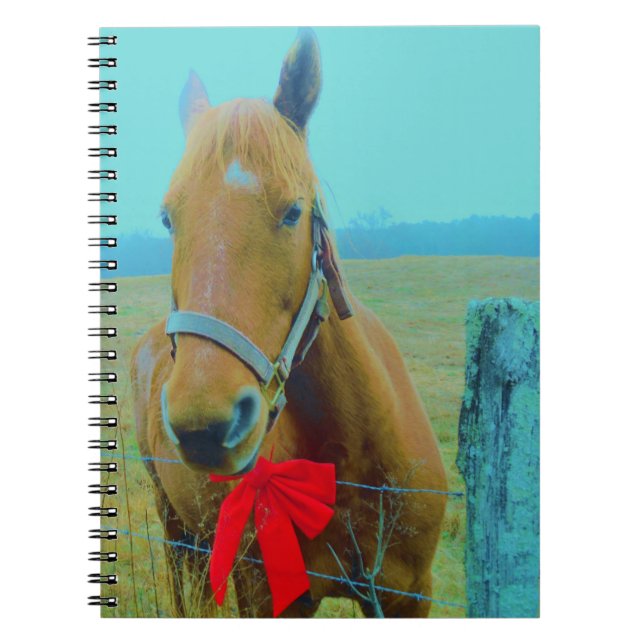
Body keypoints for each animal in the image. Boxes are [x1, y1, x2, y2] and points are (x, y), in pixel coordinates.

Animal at [130, 28, 447, 618]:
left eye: (294, 212)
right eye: (168, 219)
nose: (205, 425)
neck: (350, 455)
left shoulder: (409, 593)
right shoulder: (269, 597)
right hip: (175, 526)